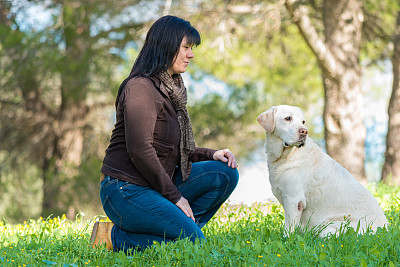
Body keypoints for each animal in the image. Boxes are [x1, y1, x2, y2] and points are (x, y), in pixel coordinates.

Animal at [256, 105, 388, 238]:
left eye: (303, 122)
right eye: (288, 118)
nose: (304, 131)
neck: (286, 156)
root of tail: (385, 230)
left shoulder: (294, 199)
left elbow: (289, 227)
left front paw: (287, 239)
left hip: (330, 227)